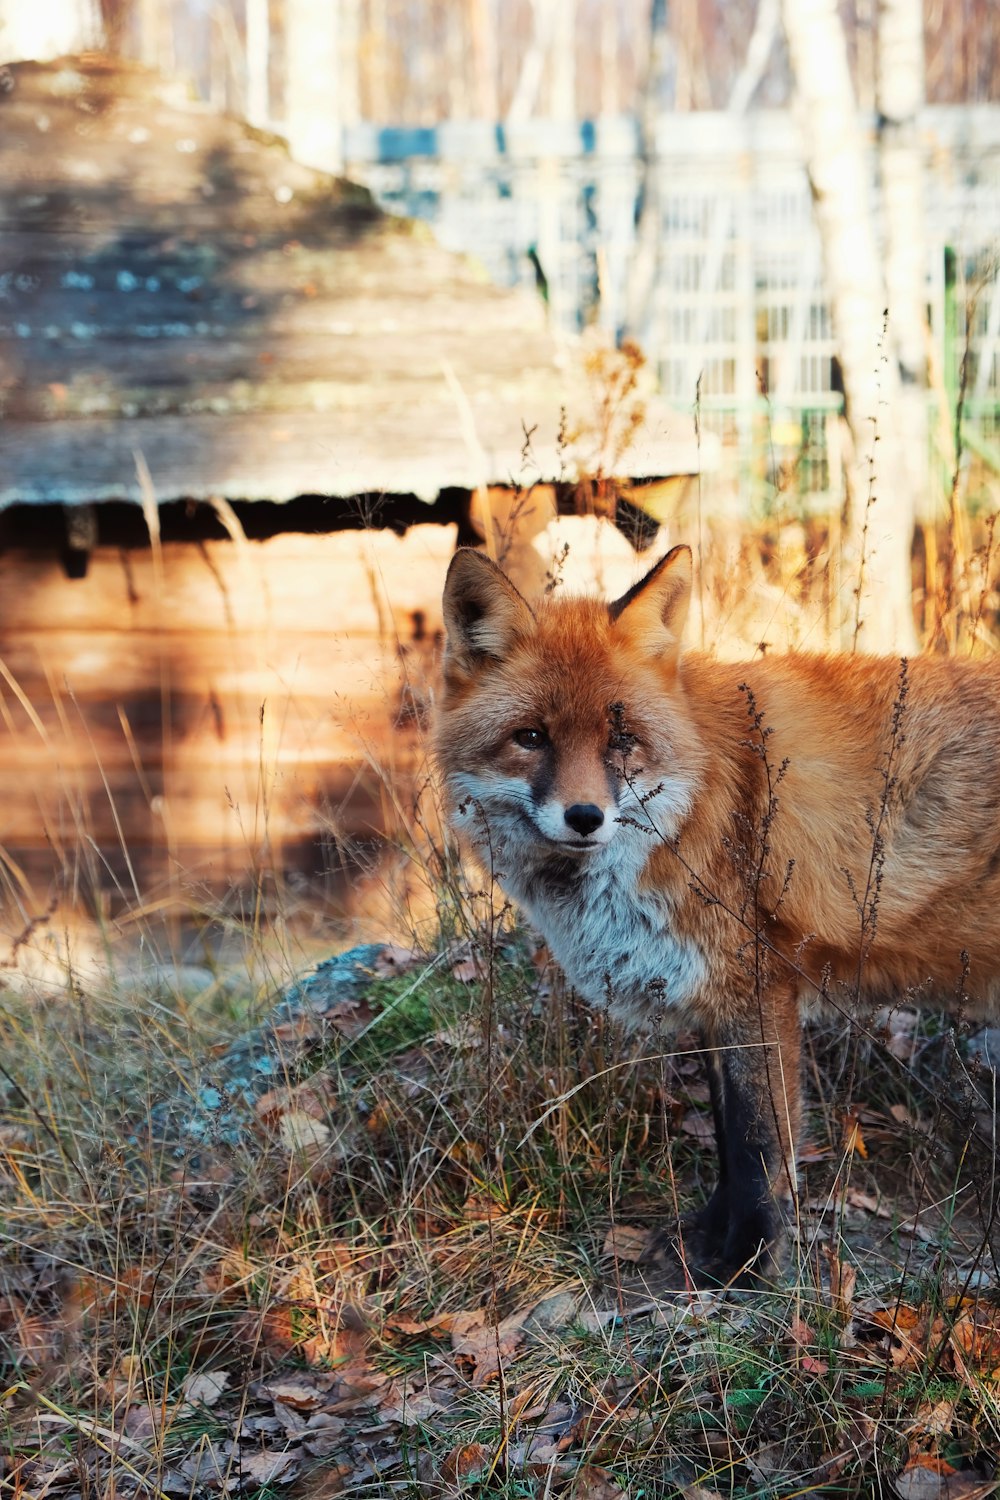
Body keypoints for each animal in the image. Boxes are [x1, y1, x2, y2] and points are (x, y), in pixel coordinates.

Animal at [434, 546, 1000, 1284]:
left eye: (622, 739)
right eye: (530, 737)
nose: (585, 817)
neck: (704, 799)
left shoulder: (756, 990)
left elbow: (761, 1150)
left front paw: (749, 1264)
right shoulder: (706, 995)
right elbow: (731, 1146)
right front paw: (707, 1241)